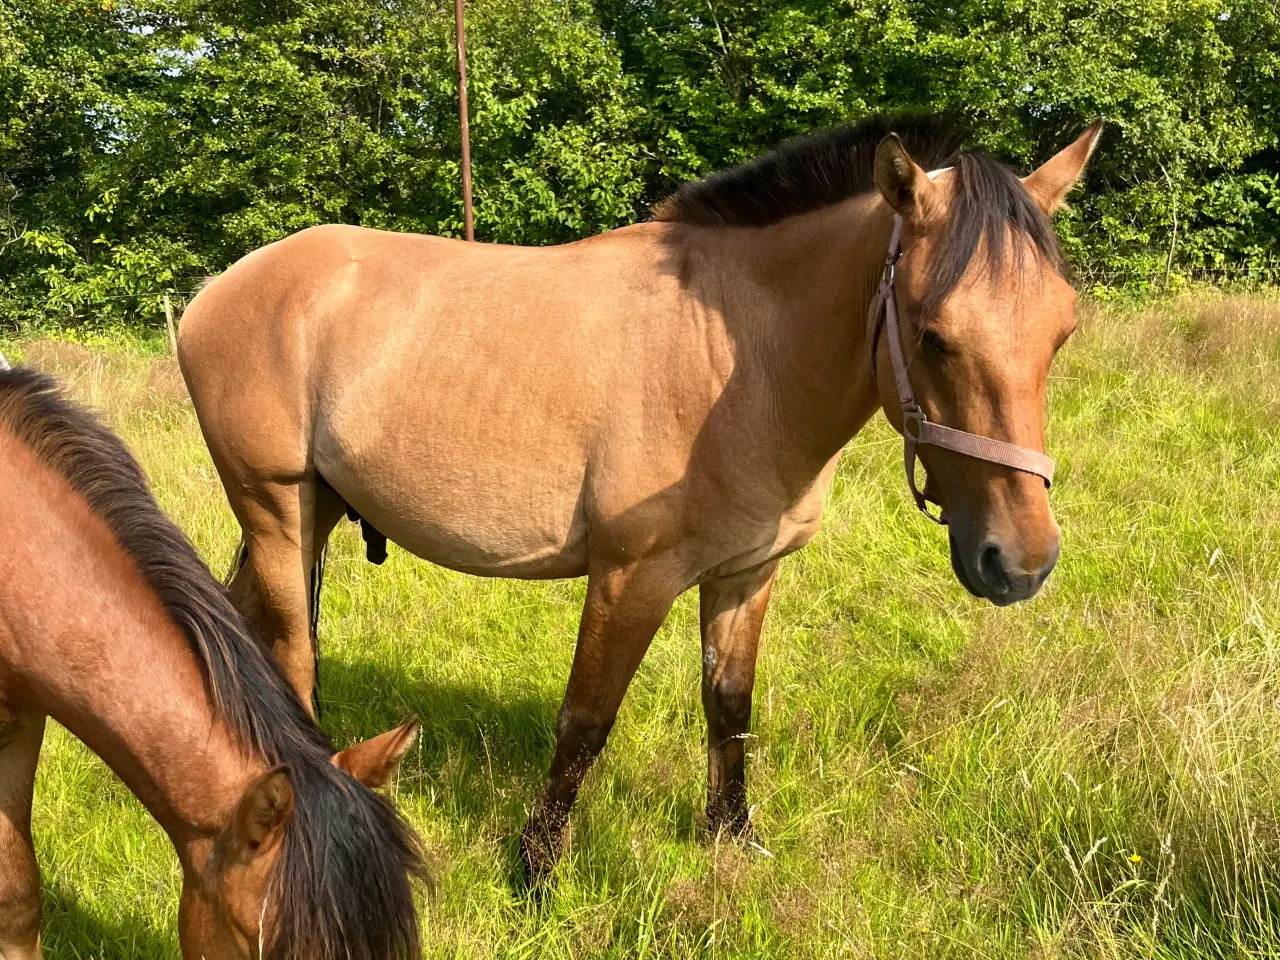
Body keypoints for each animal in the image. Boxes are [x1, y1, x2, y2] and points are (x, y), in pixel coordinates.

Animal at [177, 114, 1100, 880]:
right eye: (934, 334)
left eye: (1063, 330)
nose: (1021, 562)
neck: (740, 362)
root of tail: (215, 290)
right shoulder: (631, 579)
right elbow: (585, 721)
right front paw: (535, 871)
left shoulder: (745, 575)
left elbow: (730, 707)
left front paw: (730, 837)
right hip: (276, 507)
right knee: (291, 652)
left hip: (318, 508)